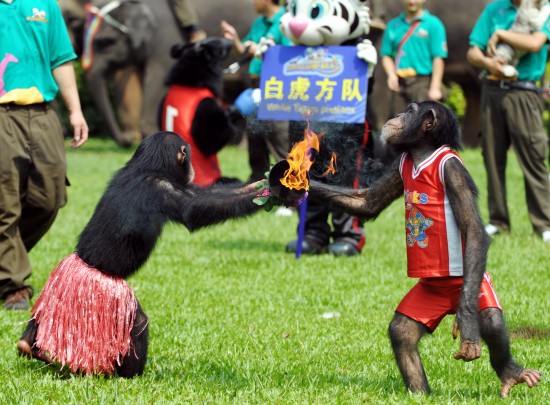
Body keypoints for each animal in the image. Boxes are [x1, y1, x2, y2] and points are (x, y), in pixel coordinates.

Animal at [17, 131, 264, 378]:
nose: (192, 167)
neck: (148, 168)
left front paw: (261, 185)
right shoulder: (163, 189)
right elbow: (197, 208)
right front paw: (264, 191)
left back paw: (30, 345)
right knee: (138, 322)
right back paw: (129, 374)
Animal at [310, 102, 544, 398]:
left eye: (411, 111)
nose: (398, 114)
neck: (423, 153)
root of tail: (451, 301)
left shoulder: (455, 173)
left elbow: (473, 230)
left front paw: (469, 332)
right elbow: (367, 201)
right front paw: (284, 184)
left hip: (477, 286)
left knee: (490, 318)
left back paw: (510, 373)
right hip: (426, 298)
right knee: (402, 332)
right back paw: (420, 393)